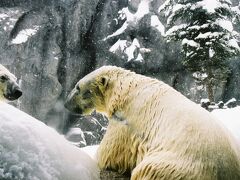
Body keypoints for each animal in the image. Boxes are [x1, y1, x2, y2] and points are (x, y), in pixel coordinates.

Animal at [64, 65, 240, 180]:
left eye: (77, 87)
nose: (66, 104)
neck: (125, 90)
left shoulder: (127, 120)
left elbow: (109, 152)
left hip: (177, 166)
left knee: (146, 170)